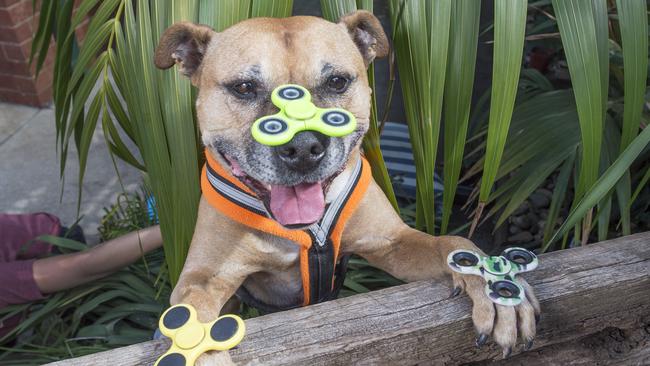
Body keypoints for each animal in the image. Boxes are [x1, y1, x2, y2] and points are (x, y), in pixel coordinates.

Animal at [153, 10, 536, 364]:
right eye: (244, 88)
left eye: (337, 82)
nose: (303, 147)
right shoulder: (202, 278)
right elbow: (193, 318)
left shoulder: (394, 242)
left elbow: (451, 243)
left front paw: (495, 290)